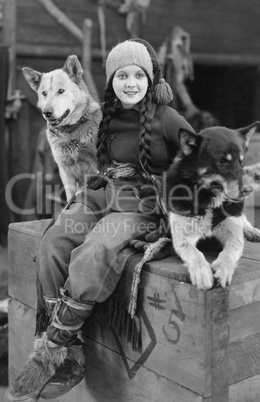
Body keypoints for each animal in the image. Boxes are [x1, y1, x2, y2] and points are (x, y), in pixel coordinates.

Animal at [22, 55, 102, 200]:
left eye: (61, 91)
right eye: (44, 93)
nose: (46, 112)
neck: (71, 131)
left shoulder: (94, 167)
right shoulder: (65, 172)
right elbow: (70, 198)